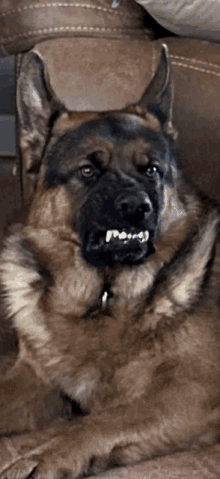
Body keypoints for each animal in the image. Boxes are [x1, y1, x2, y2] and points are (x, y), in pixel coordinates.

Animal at [0, 44, 220, 476]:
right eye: (88, 169)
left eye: (152, 170)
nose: (138, 208)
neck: (103, 300)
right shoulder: (35, 382)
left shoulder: (192, 392)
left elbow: (102, 421)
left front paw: (43, 456)